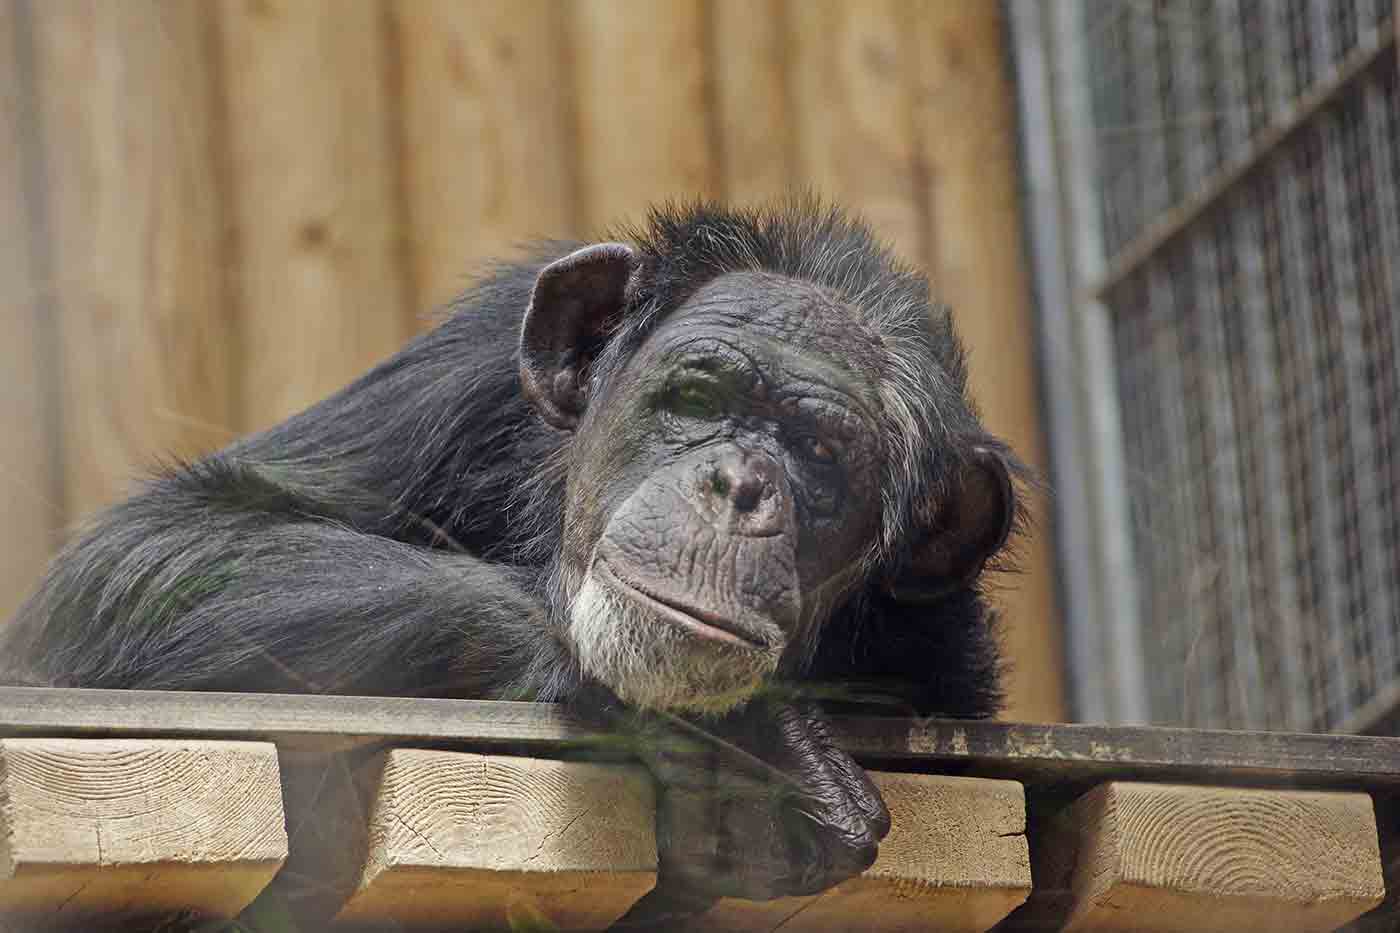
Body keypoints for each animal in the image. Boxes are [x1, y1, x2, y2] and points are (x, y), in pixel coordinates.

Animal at [0, 197, 1030, 913]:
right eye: (699, 397)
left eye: (820, 453)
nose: (739, 484)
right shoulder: (471, 363)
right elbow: (161, 542)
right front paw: (746, 743)